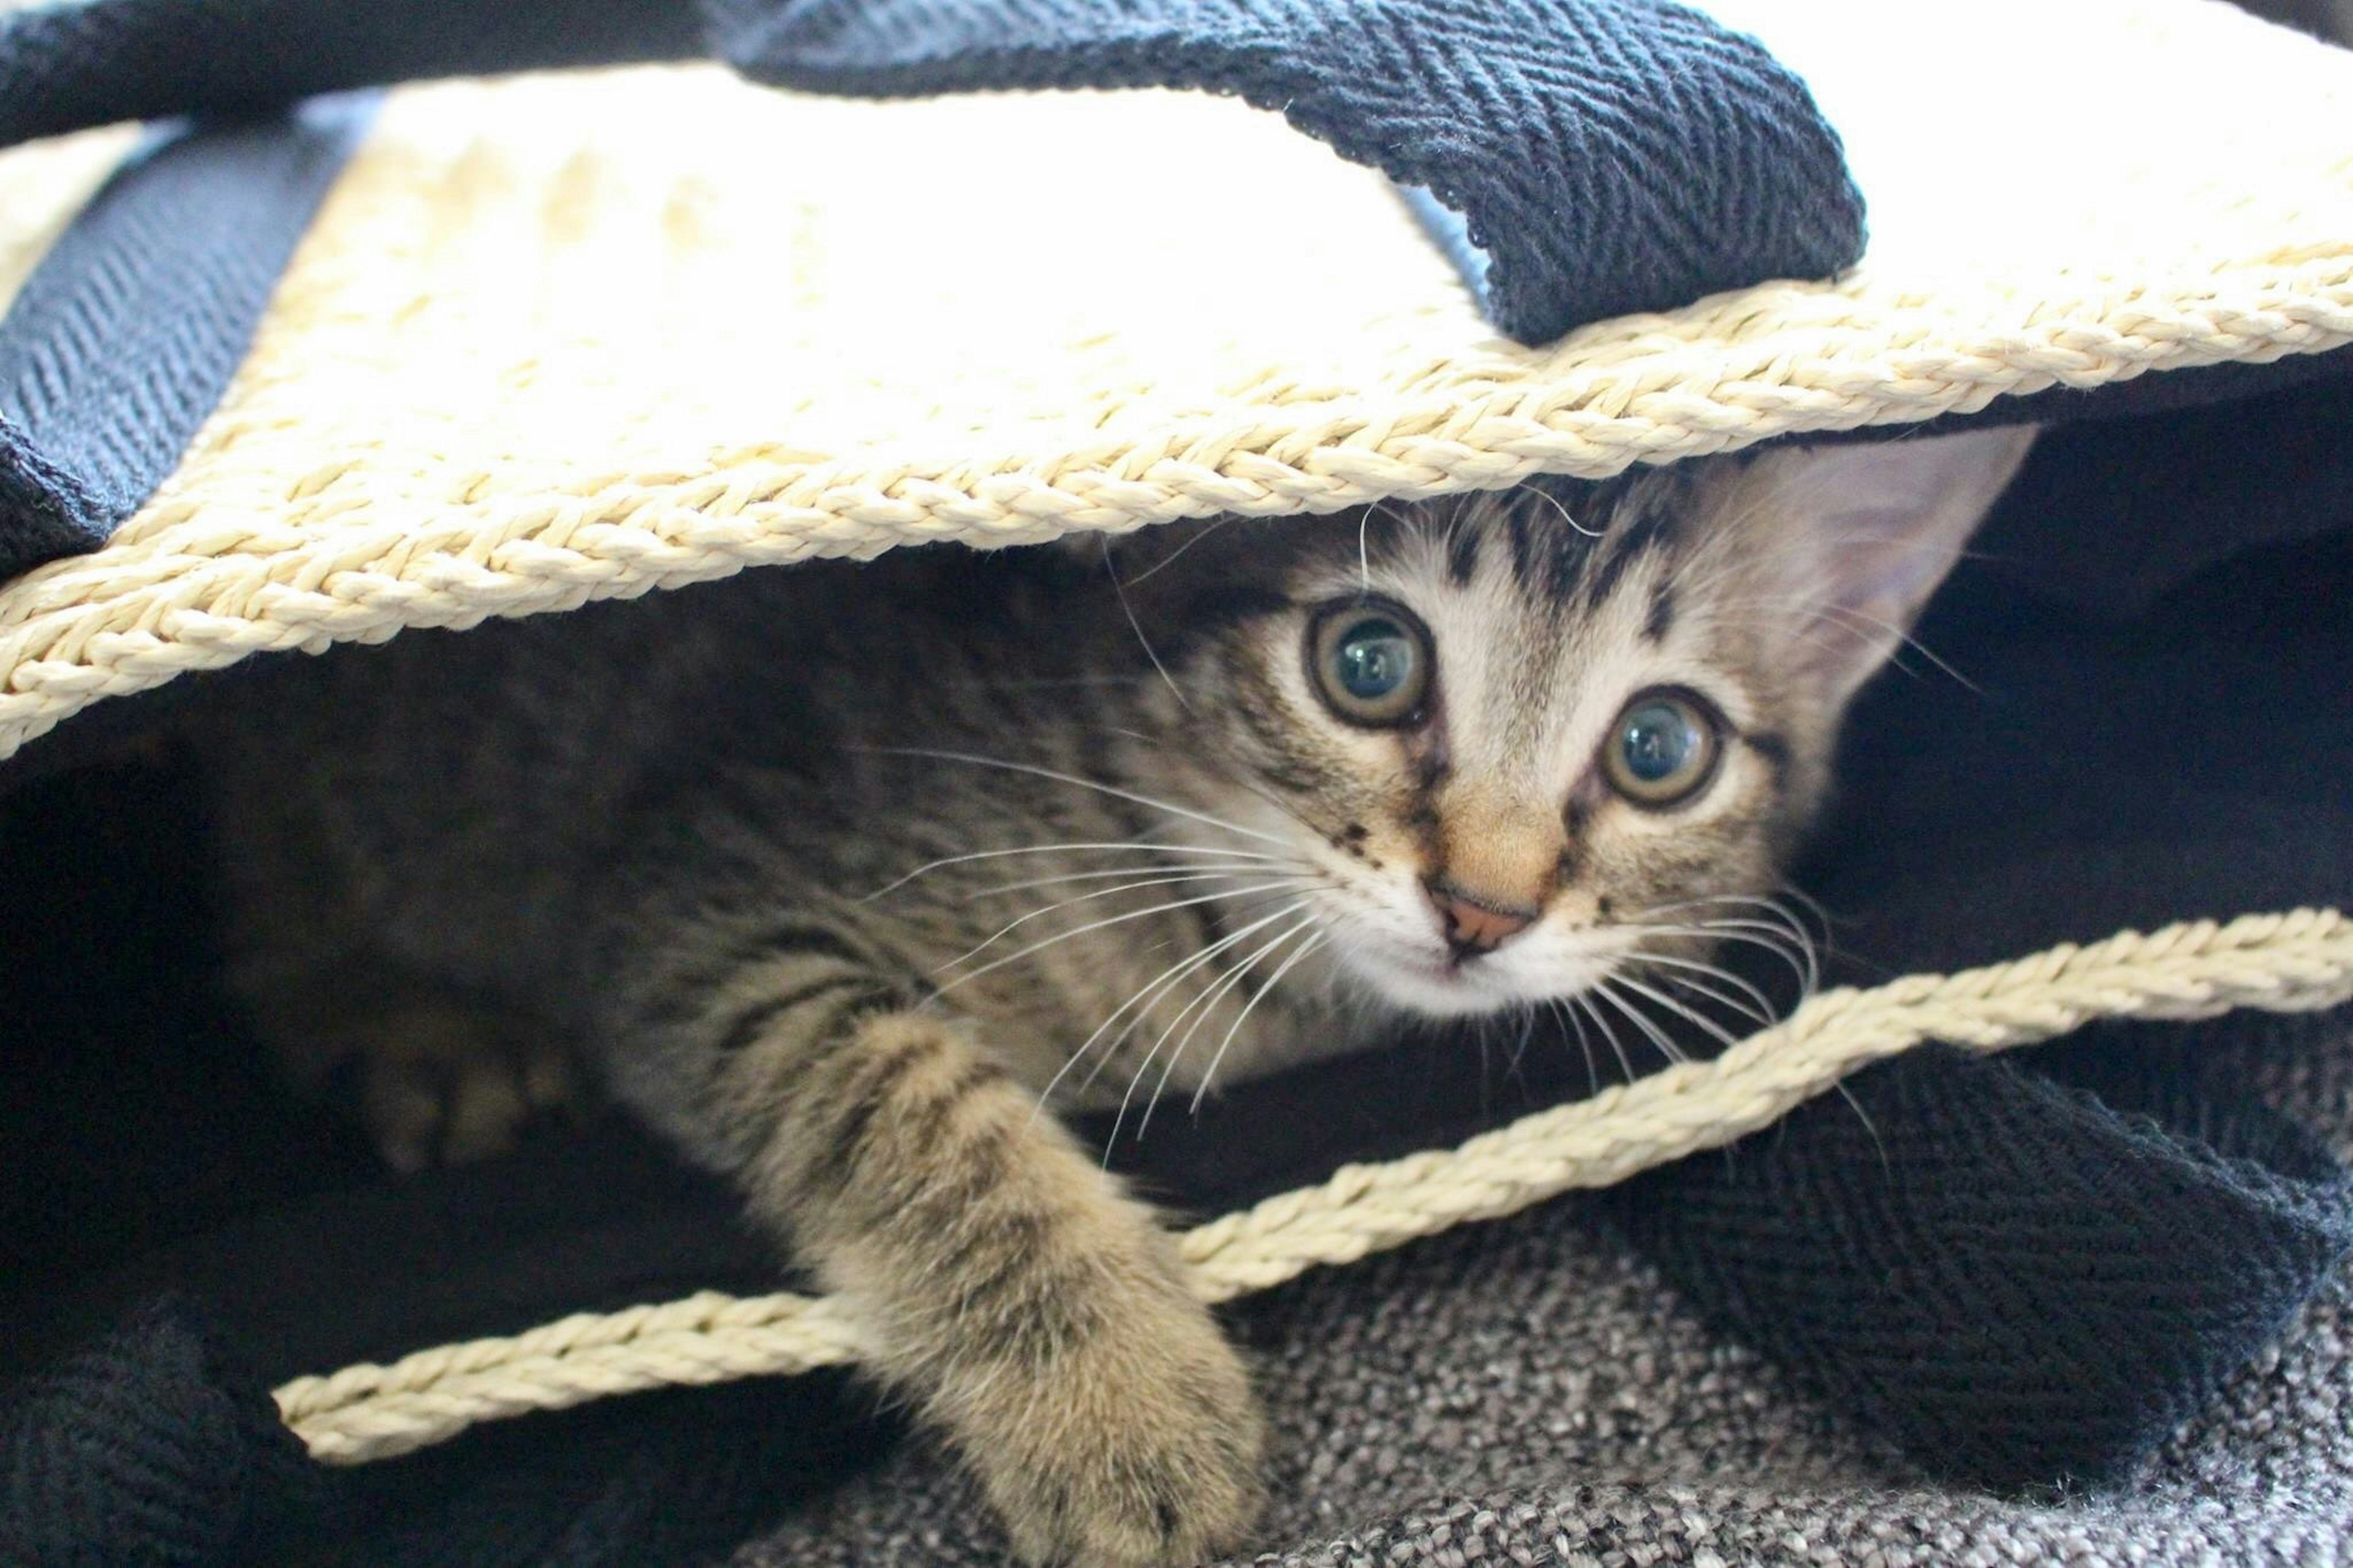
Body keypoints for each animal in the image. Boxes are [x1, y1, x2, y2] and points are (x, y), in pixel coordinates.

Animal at [202, 428, 2033, 1563]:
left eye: (1659, 748)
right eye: (1368, 662)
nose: (1482, 904)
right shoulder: (708, 889)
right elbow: (904, 1087)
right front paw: (1118, 1397)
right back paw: (416, 1027)